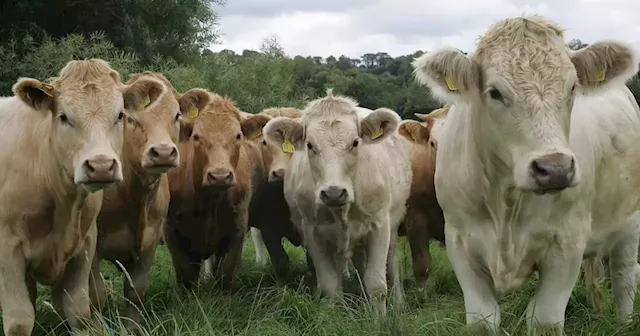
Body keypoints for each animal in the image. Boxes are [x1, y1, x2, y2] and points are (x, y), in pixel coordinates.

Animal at [0, 59, 164, 334]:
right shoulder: (7, 249)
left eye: (120, 115)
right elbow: (20, 320)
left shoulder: (85, 243)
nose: (101, 166)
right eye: (64, 117)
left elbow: (79, 310)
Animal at [165, 90, 270, 290]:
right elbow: (186, 278)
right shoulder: (173, 233)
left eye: (238, 136)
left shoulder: (237, 229)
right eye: (196, 136)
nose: (220, 175)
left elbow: (225, 274)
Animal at [264, 90, 410, 316]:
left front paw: (379, 319)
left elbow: (377, 285)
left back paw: (399, 302)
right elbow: (330, 285)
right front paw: (332, 316)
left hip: (393, 225)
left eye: (355, 142)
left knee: (392, 262)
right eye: (310, 145)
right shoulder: (312, 232)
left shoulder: (379, 226)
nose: (334, 193)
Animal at [410, 14, 640, 334]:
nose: (555, 169)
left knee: (624, 275)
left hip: (630, 222)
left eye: (572, 88)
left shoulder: (567, 243)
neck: (506, 203)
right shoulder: (460, 241)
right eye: (494, 92)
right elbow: (483, 320)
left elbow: (545, 320)